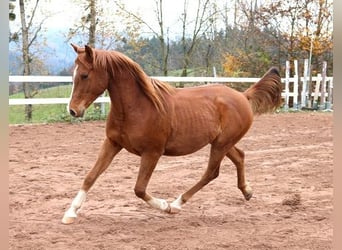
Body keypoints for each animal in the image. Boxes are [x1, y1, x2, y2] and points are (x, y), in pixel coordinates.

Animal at [62, 43, 284, 225]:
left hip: (221, 144)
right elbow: (90, 177)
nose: (72, 110)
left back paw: (177, 203)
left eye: (84, 75)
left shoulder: (152, 152)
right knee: (239, 157)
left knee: (211, 172)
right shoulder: (112, 143)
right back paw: (247, 191)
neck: (138, 107)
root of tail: (243, 96)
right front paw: (70, 213)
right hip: (222, 143)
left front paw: (165, 206)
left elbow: (139, 189)